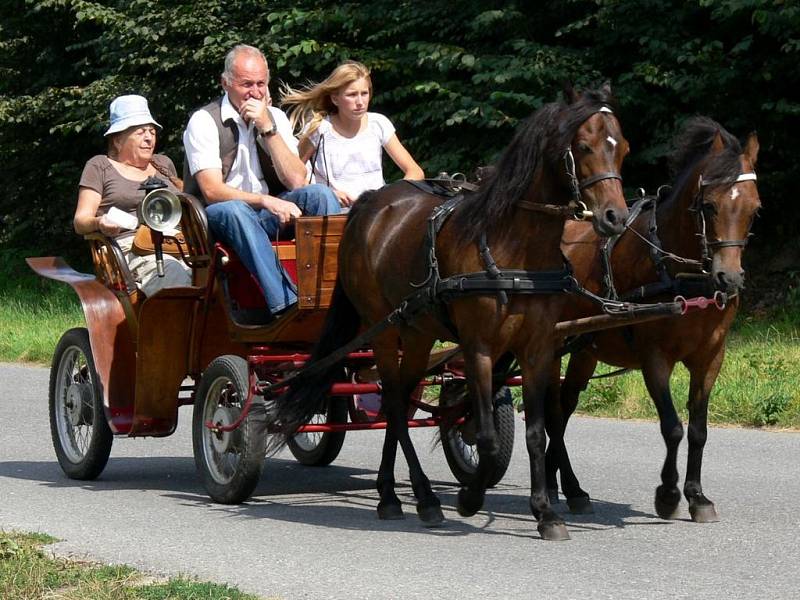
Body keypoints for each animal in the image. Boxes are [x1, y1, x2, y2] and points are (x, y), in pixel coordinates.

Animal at [270, 85, 632, 544]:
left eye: (623, 147)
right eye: (583, 146)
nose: (615, 218)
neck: (515, 247)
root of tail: (369, 206)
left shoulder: (538, 348)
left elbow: (536, 432)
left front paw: (545, 512)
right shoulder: (479, 348)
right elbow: (487, 435)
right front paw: (471, 497)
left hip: (418, 333)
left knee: (400, 401)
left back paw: (399, 494)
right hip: (383, 330)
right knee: (393, 403)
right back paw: (411, 498)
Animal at [548, 116, 760, 520]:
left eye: (754, 209)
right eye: (709, 206)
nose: (730, 278)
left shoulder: (711, 357)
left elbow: (698, 429)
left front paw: (697, 496)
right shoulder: (654, 357)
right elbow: (673, 427)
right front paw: (668, 494)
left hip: (584, 349)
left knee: (563, 408)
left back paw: (565, 487)